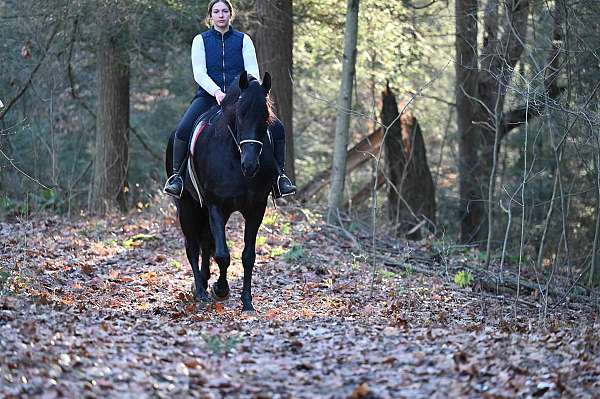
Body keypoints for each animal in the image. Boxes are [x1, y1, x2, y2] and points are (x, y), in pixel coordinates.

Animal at [165, 71, 276, 312]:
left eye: (266, 117)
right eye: (240, 115)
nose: (250, 165)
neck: (235, 157)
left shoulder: (256, 209)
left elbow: (248, 256)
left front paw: (247, 301)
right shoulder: (217, 206)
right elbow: (222, 255)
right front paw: (221, 289)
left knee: (205, 242)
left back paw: (205, 281)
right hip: (187, 206)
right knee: (192, 247)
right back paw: (200, 291)